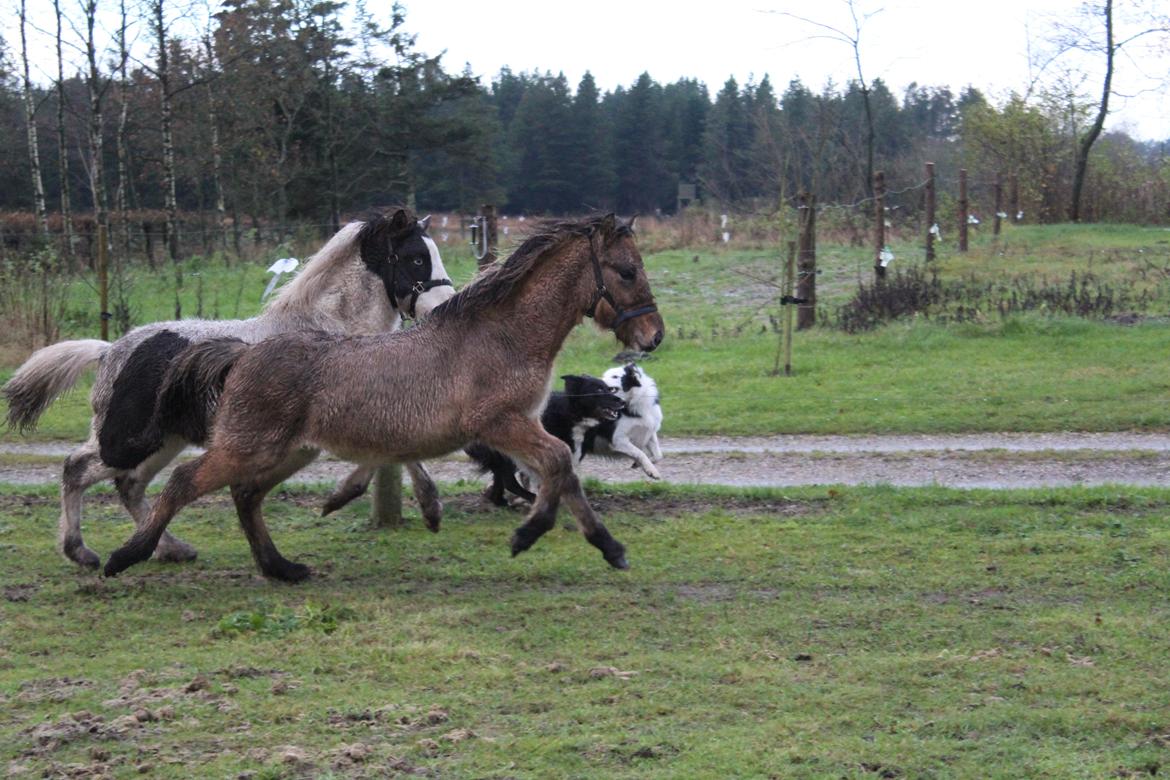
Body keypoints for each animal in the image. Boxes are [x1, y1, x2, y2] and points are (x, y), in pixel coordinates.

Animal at [1, 210, 451, 570]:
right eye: (415, 257)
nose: (443, 308)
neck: (329, 328)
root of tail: (110, 350)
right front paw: (412, 504)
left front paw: (428, 508)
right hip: (127, 441)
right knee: (76, 469)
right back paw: (82, 552)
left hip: (165, 440)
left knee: (130, 486)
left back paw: (171, 548)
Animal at [104, 211, 664, 580]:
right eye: (628, 271)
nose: (653, 336)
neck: (501, 335)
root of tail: (241, 355)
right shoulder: (500, 423)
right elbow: (556, 465)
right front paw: (527, 535)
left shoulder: (518, 426)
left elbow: (558, 472)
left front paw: (609, 548)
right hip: (247, 446)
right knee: (183, 482)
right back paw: (125, 557)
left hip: (290, 451)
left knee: (246, 495)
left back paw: (281, 567)